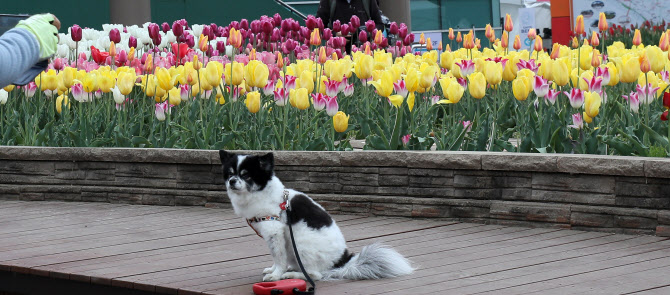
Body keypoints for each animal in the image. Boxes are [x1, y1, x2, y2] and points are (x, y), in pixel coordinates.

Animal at [220, 151, 414, 284]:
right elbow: (276, 257)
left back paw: (291, 274)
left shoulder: (275, 232)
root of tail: (341, 263)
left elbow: (279, 257)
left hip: (300, 242)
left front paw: (276, 275)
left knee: (315, 274)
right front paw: (273, 270)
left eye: (246, 174)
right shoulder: (275, 237)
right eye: (229, 173)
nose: (232, 181)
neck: (261, 194)